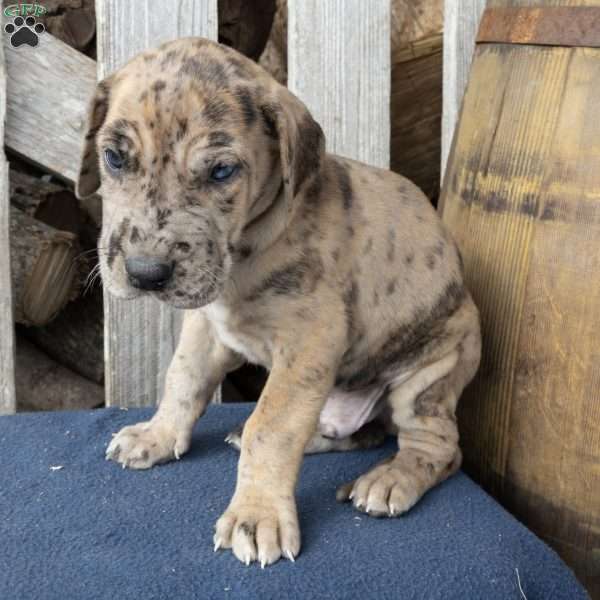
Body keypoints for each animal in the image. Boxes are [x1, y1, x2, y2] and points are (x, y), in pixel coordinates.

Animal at [77, 36, 482, 568]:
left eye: (222, 171)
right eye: (114, 158)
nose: (146, 274)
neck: (248, 247)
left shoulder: (307, 345)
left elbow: (271, 427)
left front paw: (257, 516)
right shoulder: (207, 328)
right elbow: (183, 379)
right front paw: (158, 436)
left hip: (428, 377)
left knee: (437, 447)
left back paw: (391, 479)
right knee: (360, 433)